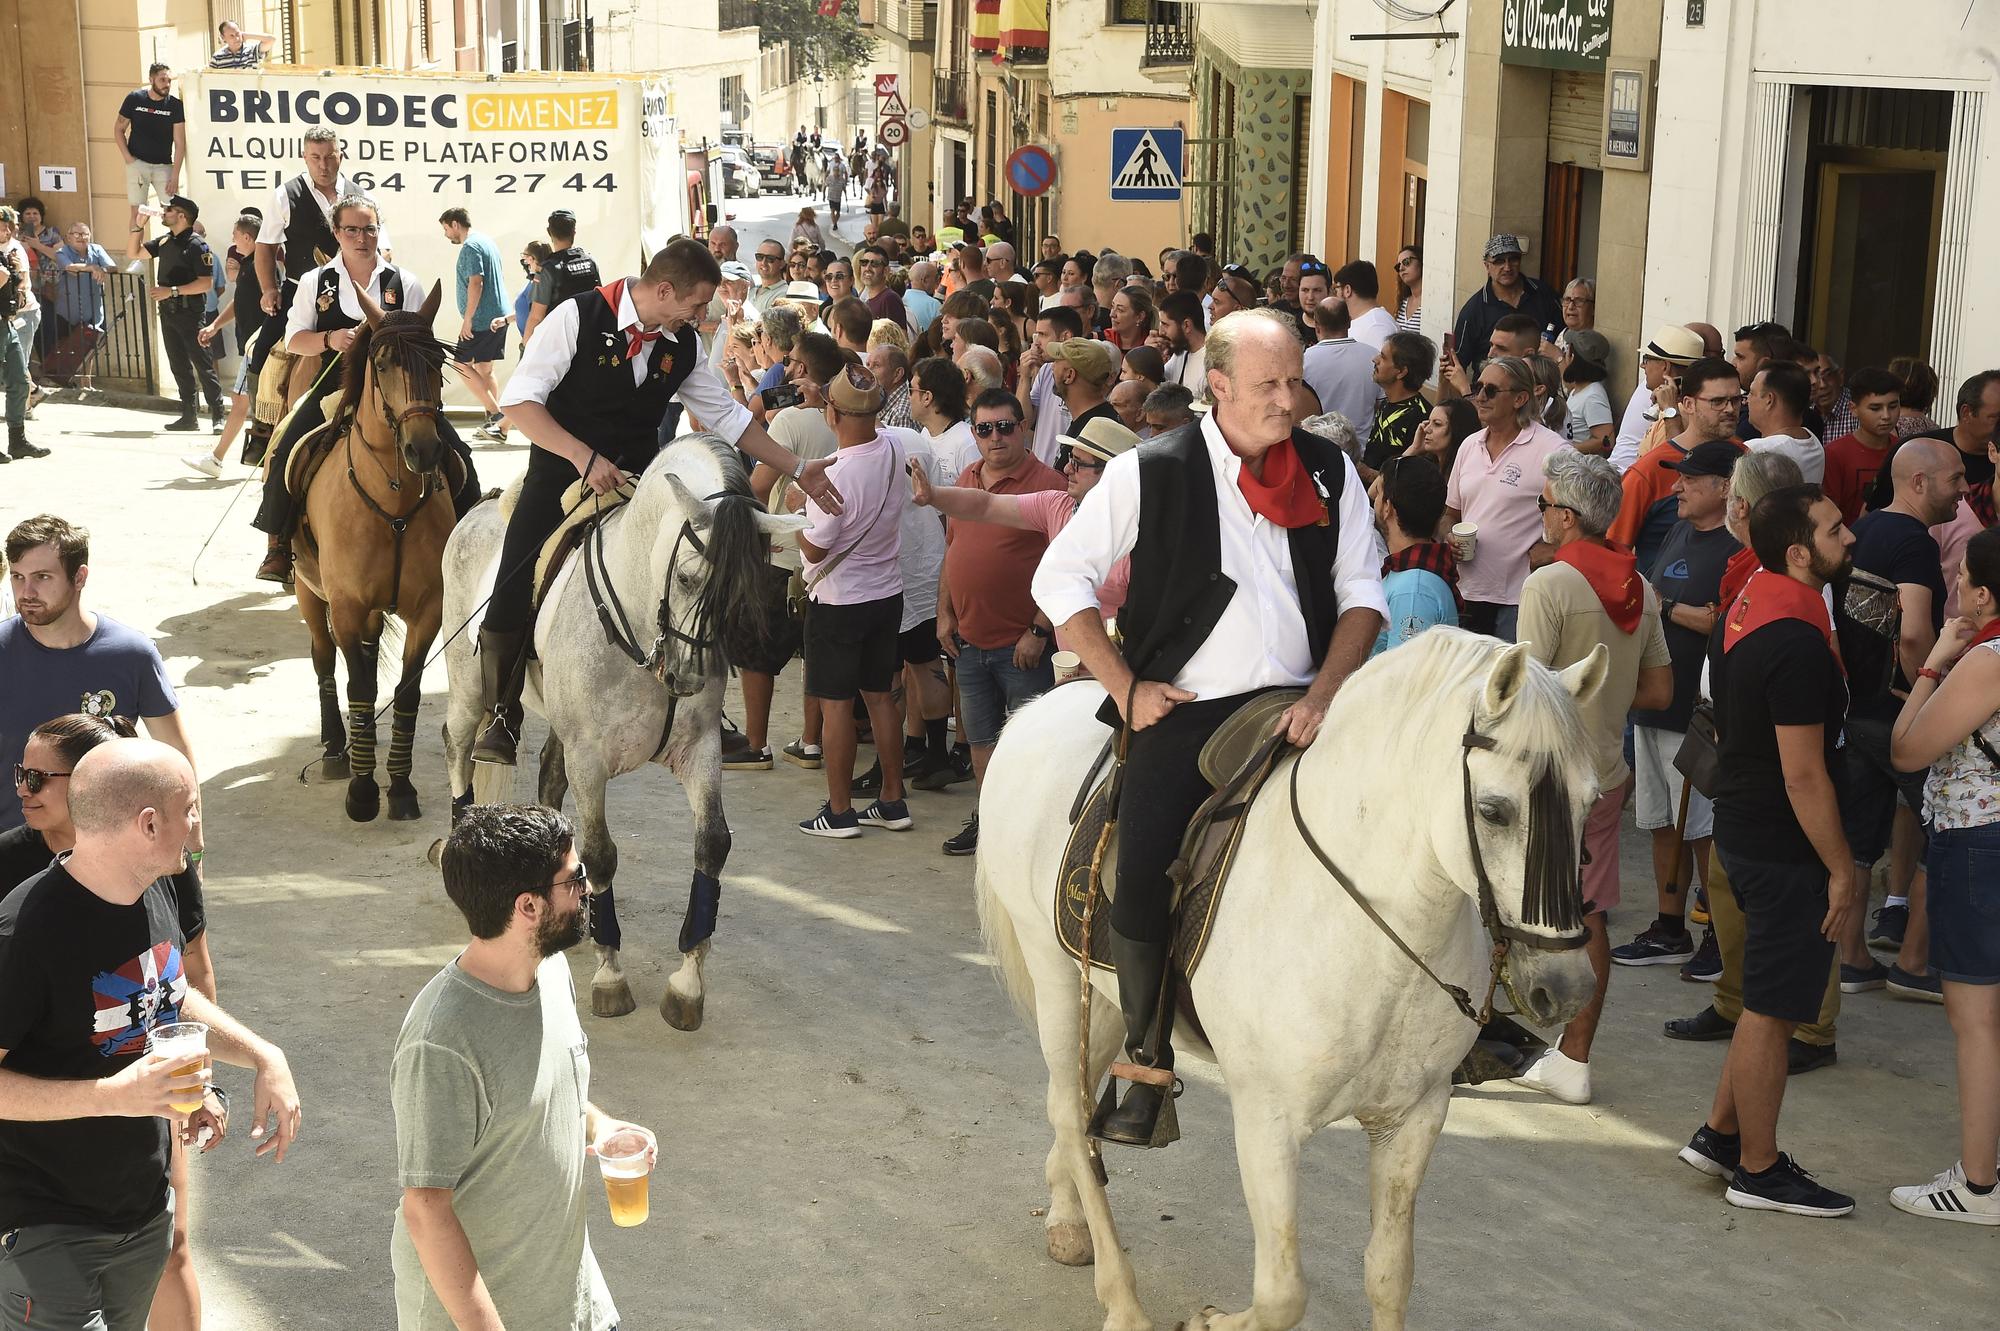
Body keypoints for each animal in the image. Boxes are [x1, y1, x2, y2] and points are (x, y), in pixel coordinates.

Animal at [292, 281, 458, 819]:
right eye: (382, 364)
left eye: (436, 363)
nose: (423, 450)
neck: (393, 503)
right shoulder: (344, 605)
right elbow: (359, 686)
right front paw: (363, 791)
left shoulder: (428, 611)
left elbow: (406, 691)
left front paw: (400, 786)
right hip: (308, 590)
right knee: (325, 660)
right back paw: (335, 748)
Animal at [446, 435, 804, 1023]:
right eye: (686, 577)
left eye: (742, 591)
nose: (684, 677)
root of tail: (480, 507)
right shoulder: (590, 758)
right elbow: (600, 853)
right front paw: (610, 974)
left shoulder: (699, 749)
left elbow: (712, 844)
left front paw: (687, 983)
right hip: (468, 689)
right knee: (458, 748)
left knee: (548, 777)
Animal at [976, 631, 1600, 1327]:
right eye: (1494, 811)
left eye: (1591, 803)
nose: (1568, 990)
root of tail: (1035, 711)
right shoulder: (1266, 1122)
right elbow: (1282, 1293)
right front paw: (1211, 1321)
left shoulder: (1414, 1116)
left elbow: (1390, 1274)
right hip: (1057, 971)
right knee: (1070, 1107)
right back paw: (1123, 1299)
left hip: (1104, 997)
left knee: (1078, 1103)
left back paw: (1066, 1221)